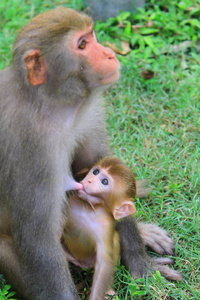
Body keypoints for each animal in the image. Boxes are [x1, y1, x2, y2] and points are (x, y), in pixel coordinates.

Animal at [62, 157, 136, 300]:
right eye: (95, 171)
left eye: (105, 181)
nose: (89, 180)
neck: (88, 209)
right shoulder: (69, 204)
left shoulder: (105, 225)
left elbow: (104, 262)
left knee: (115, 240)